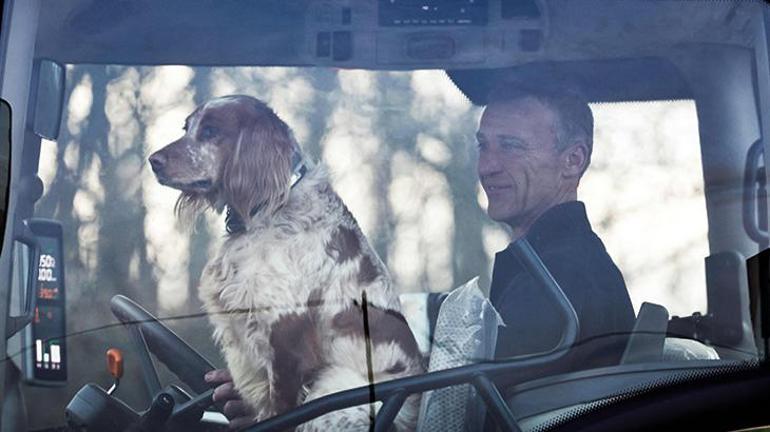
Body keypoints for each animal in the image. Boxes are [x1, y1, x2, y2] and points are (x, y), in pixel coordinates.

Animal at [147, 96, 424, 430]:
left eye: (211, 131)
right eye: (187, 128)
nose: (153, 160)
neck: (270, 209)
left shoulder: (286, 346)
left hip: (333, 386)